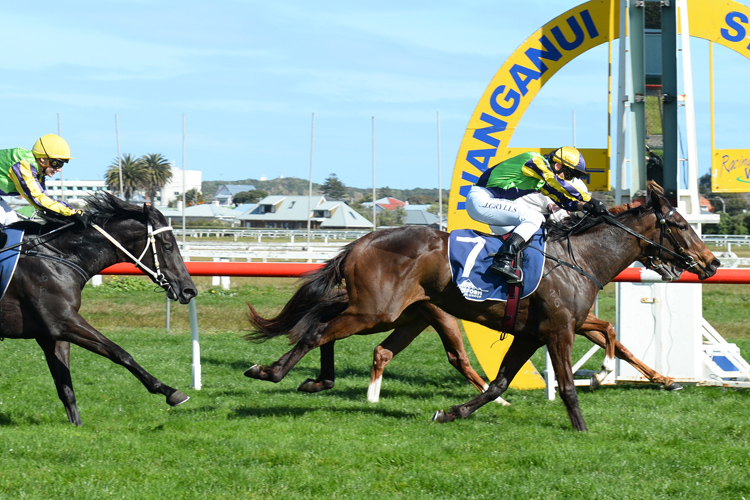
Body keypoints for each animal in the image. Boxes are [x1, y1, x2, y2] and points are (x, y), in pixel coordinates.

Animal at [0, 192, 197, 426]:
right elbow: (119, 352)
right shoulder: (63, 322)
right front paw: (169, 391)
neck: (57, 257)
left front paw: (76, 425)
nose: (189, 290)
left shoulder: (51, 334)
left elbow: (65, 385)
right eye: (167, 245)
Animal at [245, 184, 716, 430]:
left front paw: (450, 412)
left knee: (324, 325)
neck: (579, 258)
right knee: (317, 329)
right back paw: (271, 371)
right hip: (376, 311)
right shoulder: (559, 330)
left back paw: (314, 380)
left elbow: (498, 384)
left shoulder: (531, 334)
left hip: (390, 311)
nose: (711, 263)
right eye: (681, 224)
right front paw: (583, 428)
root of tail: (362, 241)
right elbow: (566, 385)